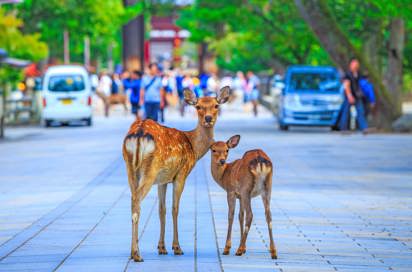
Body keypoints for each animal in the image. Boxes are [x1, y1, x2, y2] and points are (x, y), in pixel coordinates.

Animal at [122, 86, 232, 260]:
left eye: (216, 105)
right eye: (198, 106)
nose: (208, 118)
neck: (193, 147)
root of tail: (138, 134)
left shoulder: (162, 180)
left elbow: (162, 210)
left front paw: (161, 248)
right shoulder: (181, 173)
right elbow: (175, 208)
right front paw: (177, 247)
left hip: (130, 168)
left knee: (133, 199)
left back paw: (133, 252)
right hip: (150, 169)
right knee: (137, 201)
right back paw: (137, 254)